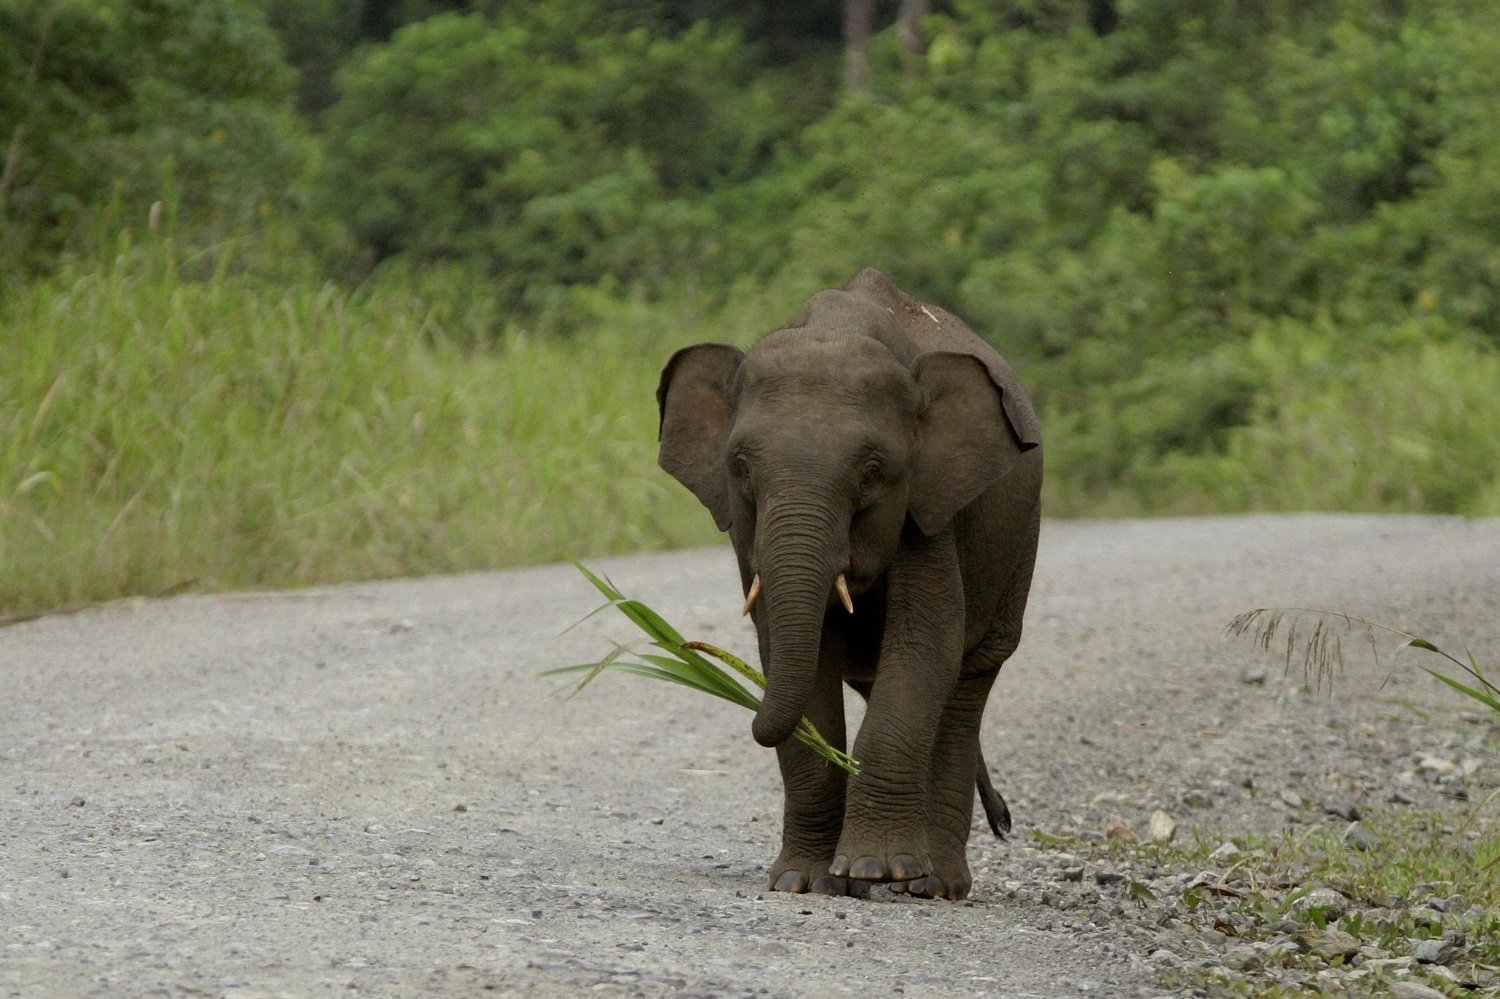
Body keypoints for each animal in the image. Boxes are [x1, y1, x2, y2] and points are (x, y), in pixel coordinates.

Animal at [657, 268, 1044, 900]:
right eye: (740, 466)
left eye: (872, 473)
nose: (1008, 821)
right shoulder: (745, 530)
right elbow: (794, 653)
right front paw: (803, 881)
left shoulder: (929, 507)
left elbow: (926, 644)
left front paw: (873, 871)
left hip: (1018, 548)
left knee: (969, 680)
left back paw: (933, 884)